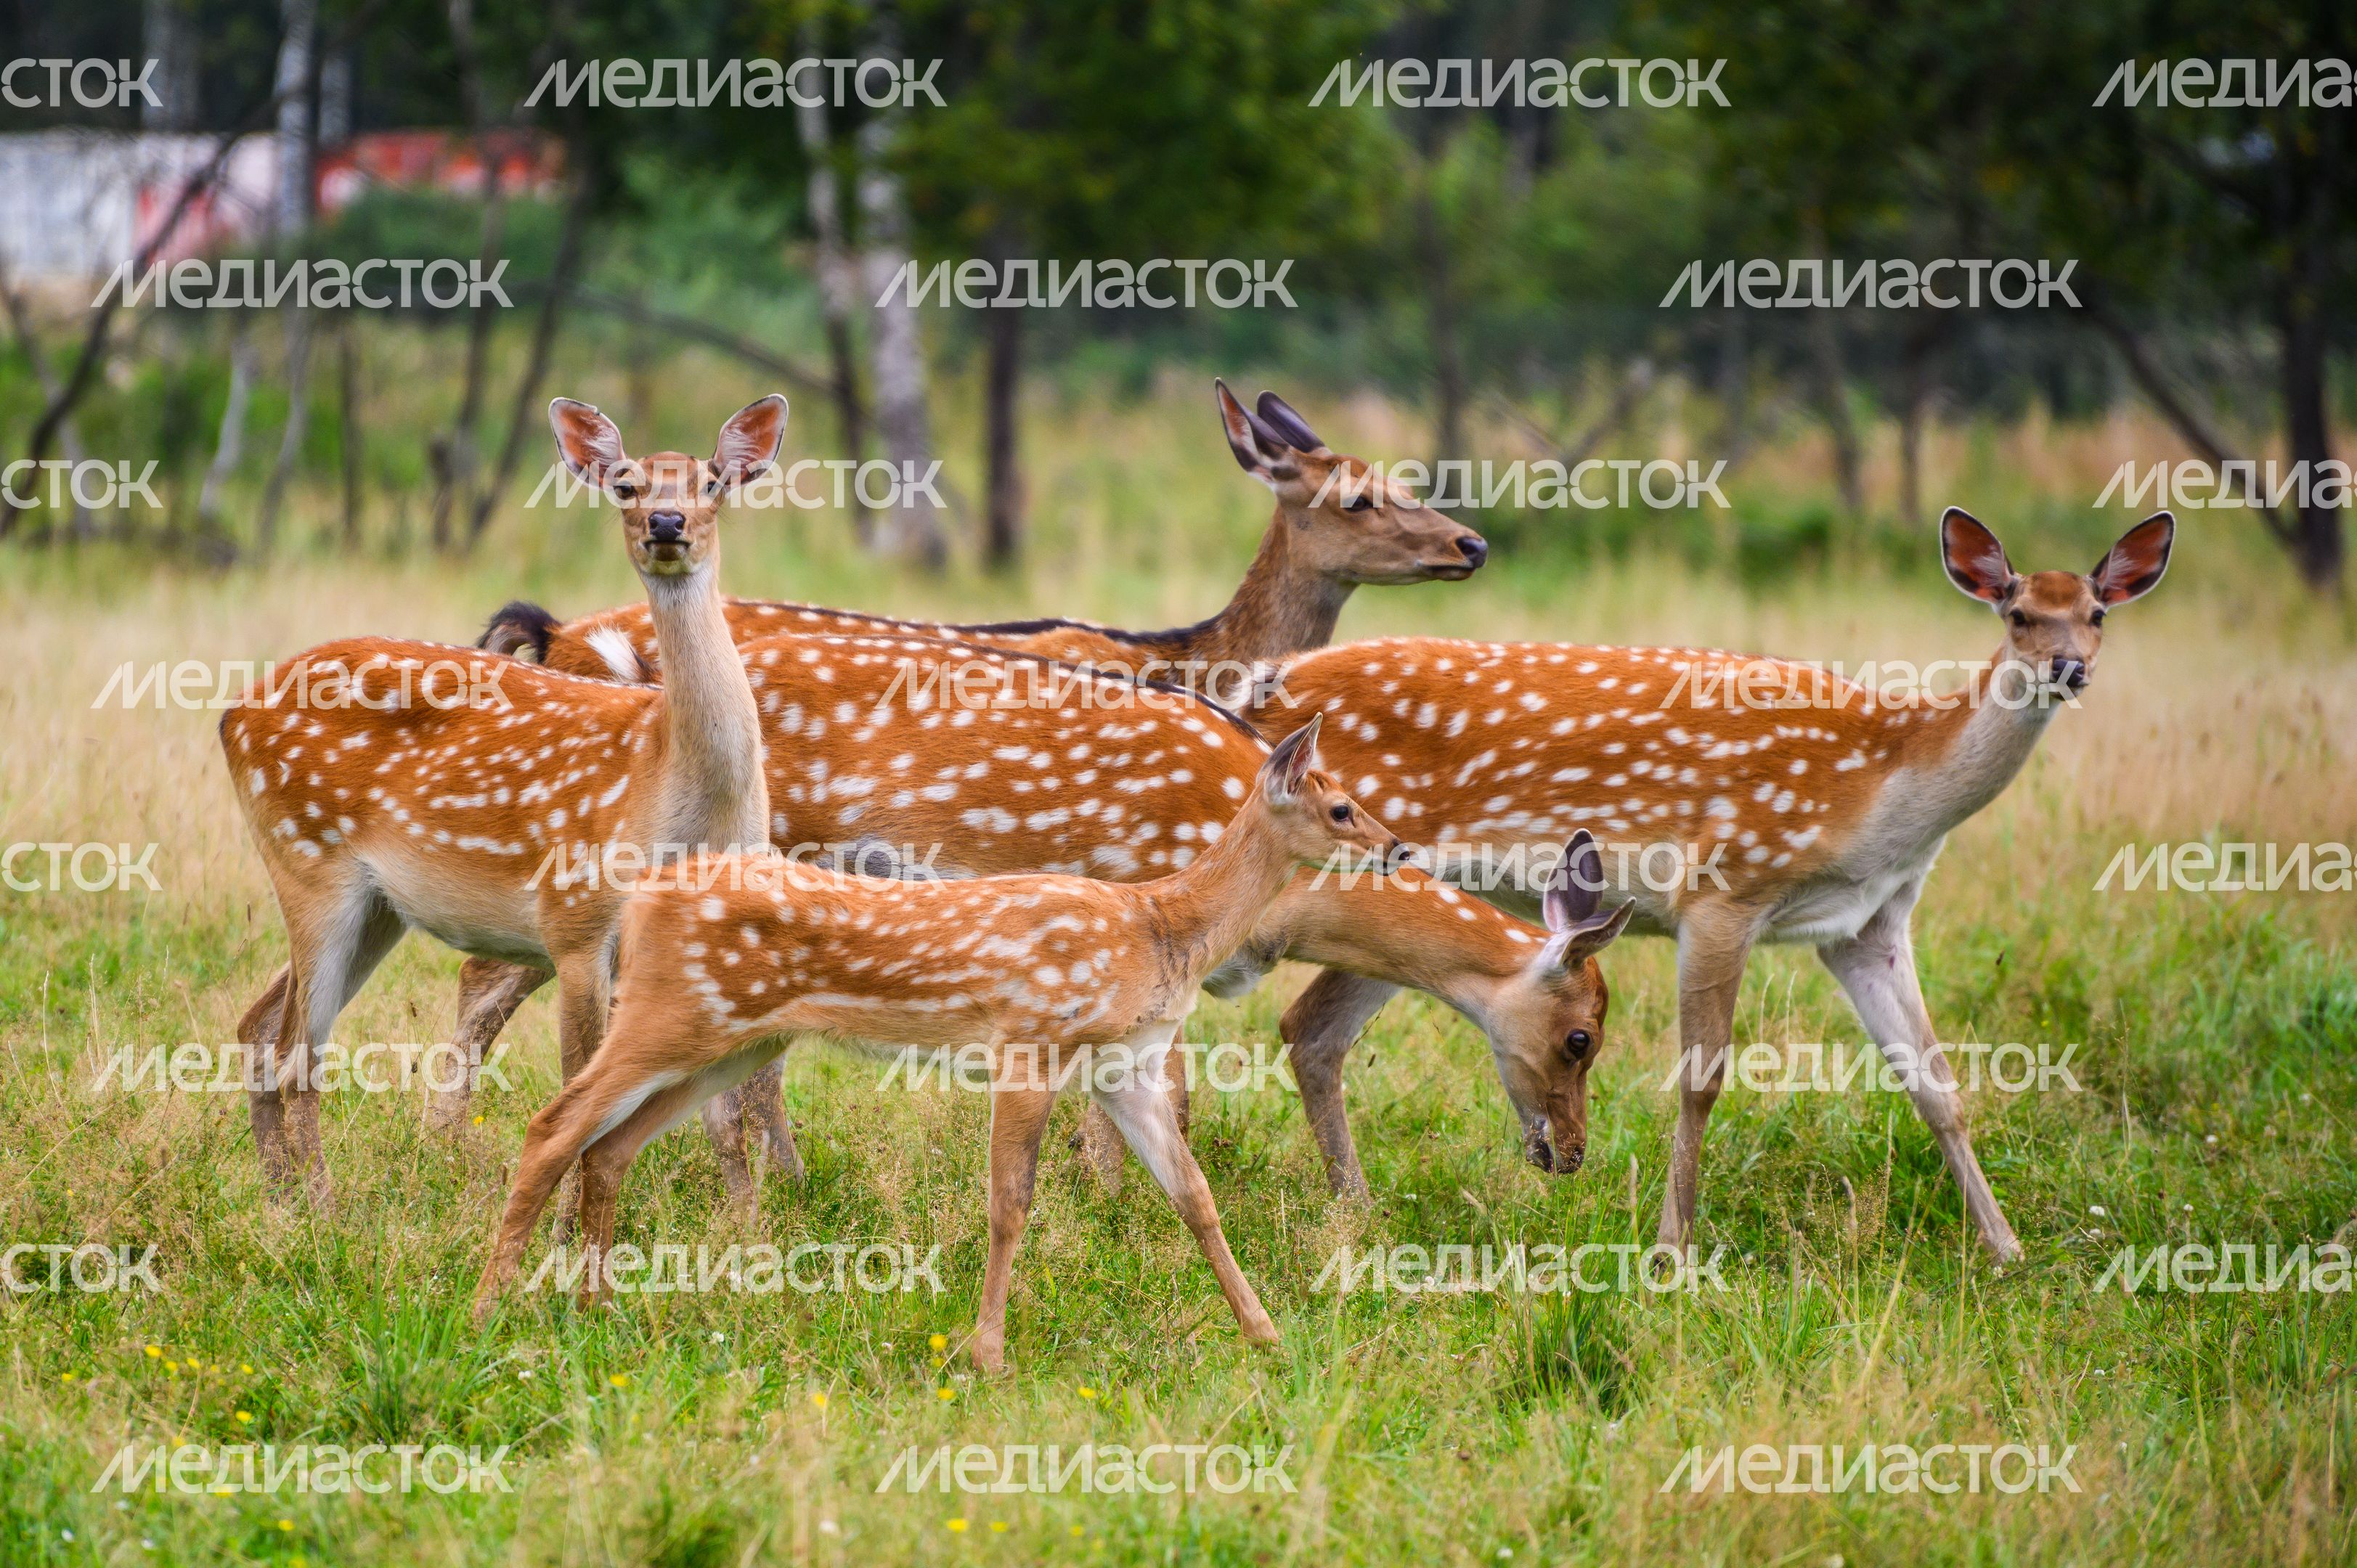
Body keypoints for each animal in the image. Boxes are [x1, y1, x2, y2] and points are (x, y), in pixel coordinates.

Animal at [221, 395, 789, 1202]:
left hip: (376, 904)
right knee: (299, 1048)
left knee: (260, 1025)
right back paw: (322, 1209)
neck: (674, 785)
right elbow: (582, 1094)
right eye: (625, 485)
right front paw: (568, 1227)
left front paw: (743, 1219)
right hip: (307, 859)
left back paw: (278, 1201)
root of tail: (231, 714)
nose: (666, 522)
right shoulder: (576, 919)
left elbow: (720, 1113)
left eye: (712, 482)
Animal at [472, 719, 1407, 1371]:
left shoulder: (1125, 1067)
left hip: (732, 1039)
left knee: (612, 1145)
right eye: (1340, 806)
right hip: (668, 1014)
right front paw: (986, 1354)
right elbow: (1009, 1203)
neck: (1160, 929)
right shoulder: (1029, 1040)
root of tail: (641, 903)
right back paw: (490, 1309)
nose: (1397, 847)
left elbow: (1195, 1197)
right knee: (554, 1125)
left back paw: (597, 1309)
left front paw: (1266, 1334)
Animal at [1241, 510, 2176, 1262]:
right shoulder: (1725, 888)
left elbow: (1935, 1086)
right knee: (1300, 1016)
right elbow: (1702, 1079)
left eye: (2097, 615)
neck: (1885, 789)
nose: (2067, 667)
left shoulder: (1866, 925)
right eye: (2017, 613)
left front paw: (2007, 1249)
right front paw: (1671, 1251)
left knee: (1312, 1028)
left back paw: (1359, 1214)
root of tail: (1262, 683)